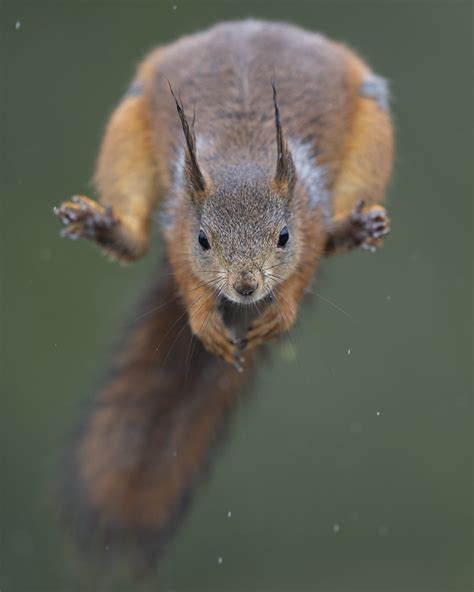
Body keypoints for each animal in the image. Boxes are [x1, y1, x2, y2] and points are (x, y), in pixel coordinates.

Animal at [54, 18, 392, 564]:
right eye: (203, 240)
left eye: (283, 236)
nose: (247, 286)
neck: (244, 155)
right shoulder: (178, 223)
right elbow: (185, 275)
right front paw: (205, 323)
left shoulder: (311, 217)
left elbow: (305, 267)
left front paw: (281, 312)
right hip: (127, 129)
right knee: (134, 236)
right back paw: (106, 226)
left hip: (371, 133)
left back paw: (353, 228)